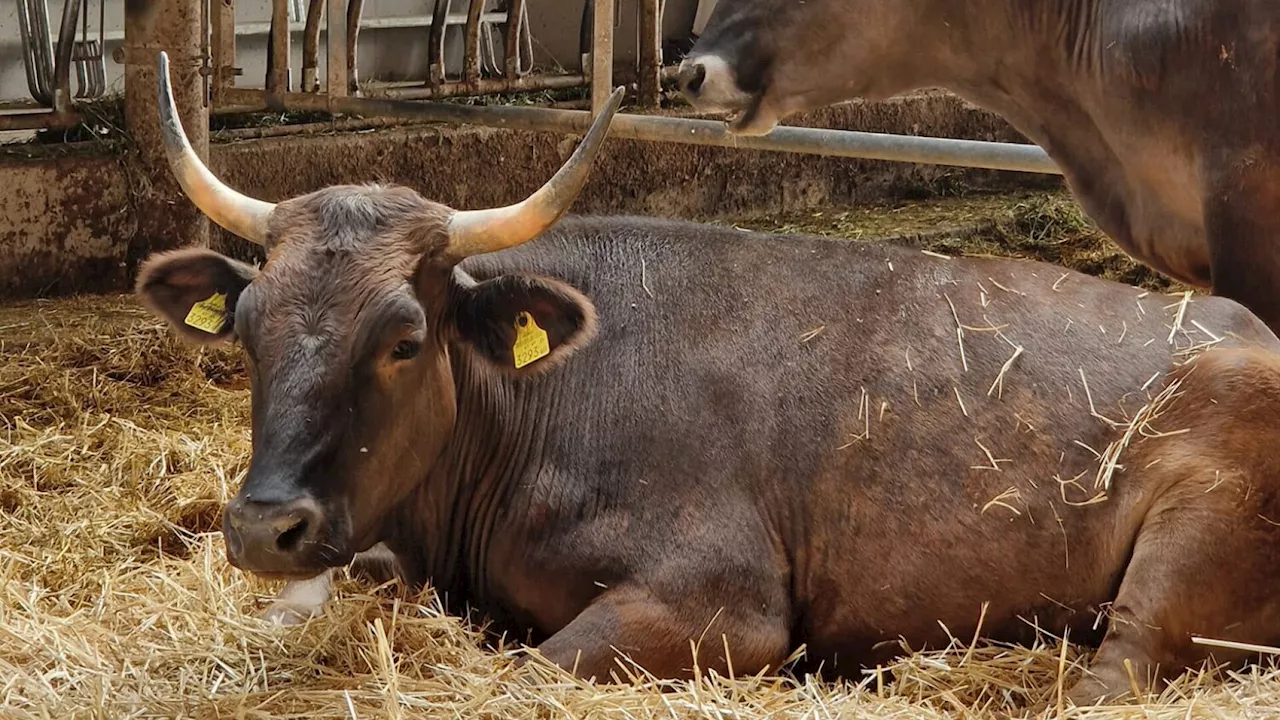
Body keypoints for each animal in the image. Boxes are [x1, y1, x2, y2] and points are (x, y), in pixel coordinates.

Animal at [137, 51, 1280, 707]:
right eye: (247, 329)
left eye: (404, 340)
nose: (263, 526)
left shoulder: (723, 604)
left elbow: (532, 667)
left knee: (1112, 674)